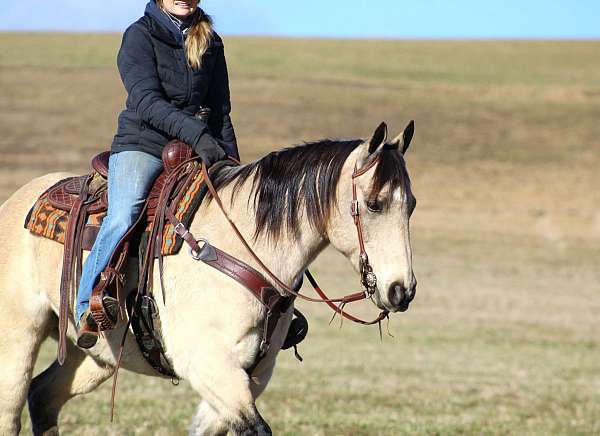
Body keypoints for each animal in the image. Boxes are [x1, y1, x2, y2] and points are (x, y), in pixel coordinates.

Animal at [0, 120, 418, 436]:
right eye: (374, 204)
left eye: (410, 204)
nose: (402, 290)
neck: (240, 247)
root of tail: (18, 200)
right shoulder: (206, 363)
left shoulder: (254, 373)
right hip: (19, 339)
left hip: (95, 355)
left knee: (43, 397)